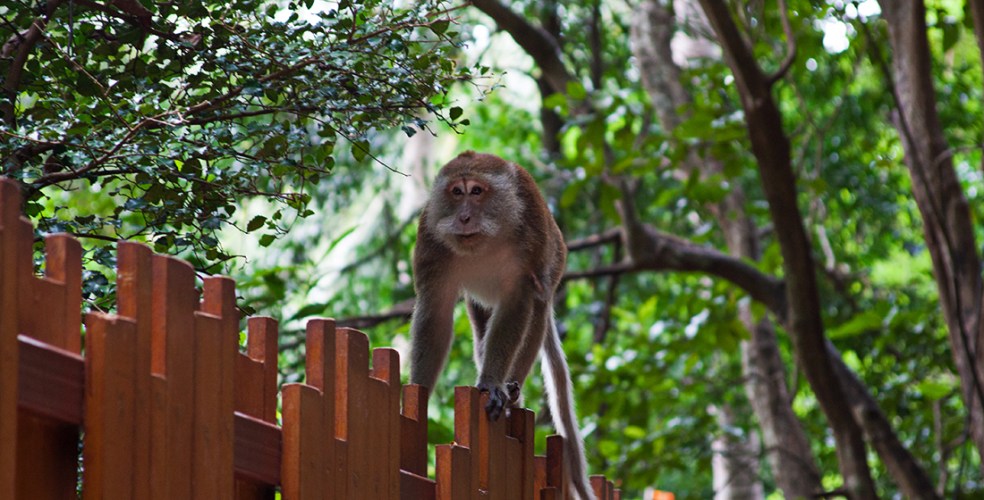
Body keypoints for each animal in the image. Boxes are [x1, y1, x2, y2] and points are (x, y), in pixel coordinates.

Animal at [409, 151, 595, 500]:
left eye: (477, 191)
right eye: (457, 192)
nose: (464, 217)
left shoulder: (528, 236)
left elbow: (518, 302)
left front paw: (492, 383)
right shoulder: (431, 241)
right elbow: (435, 312)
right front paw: (416, 395)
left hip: (555, 259)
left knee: (537, 306)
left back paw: (512, 391)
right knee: (482, 322)